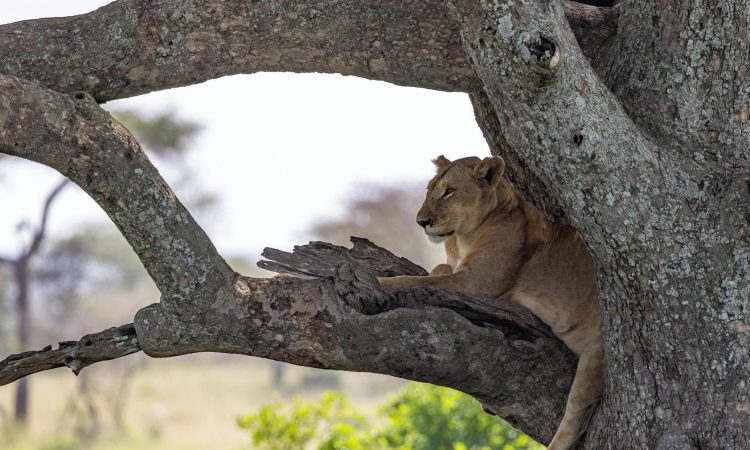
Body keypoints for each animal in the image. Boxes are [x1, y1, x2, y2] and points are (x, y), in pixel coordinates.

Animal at [378, 155, 603, 450]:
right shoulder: (458, 270)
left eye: (449, 191)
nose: (421, 221)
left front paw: (380, 282)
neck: (462, 237)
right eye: (429, 189)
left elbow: (412, 282)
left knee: (575, 417)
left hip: (595, 355)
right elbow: (436, 270)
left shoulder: (474, 284)